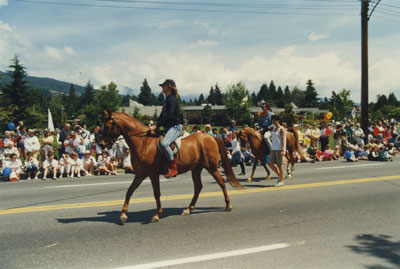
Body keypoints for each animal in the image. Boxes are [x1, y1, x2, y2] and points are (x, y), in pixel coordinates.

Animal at [100, 110, 244, 223]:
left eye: (106, 126)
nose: (101, 144)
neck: (143, 142)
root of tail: (211, 137)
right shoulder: (140, 174)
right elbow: (129, 191)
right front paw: (123, 214)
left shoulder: (152, 174)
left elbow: (156, 193)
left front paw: (157, 215)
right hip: (196, 169)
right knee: (198, 187)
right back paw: (188, 209)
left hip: (211, 167)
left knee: (221, 182)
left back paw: (228, 205)